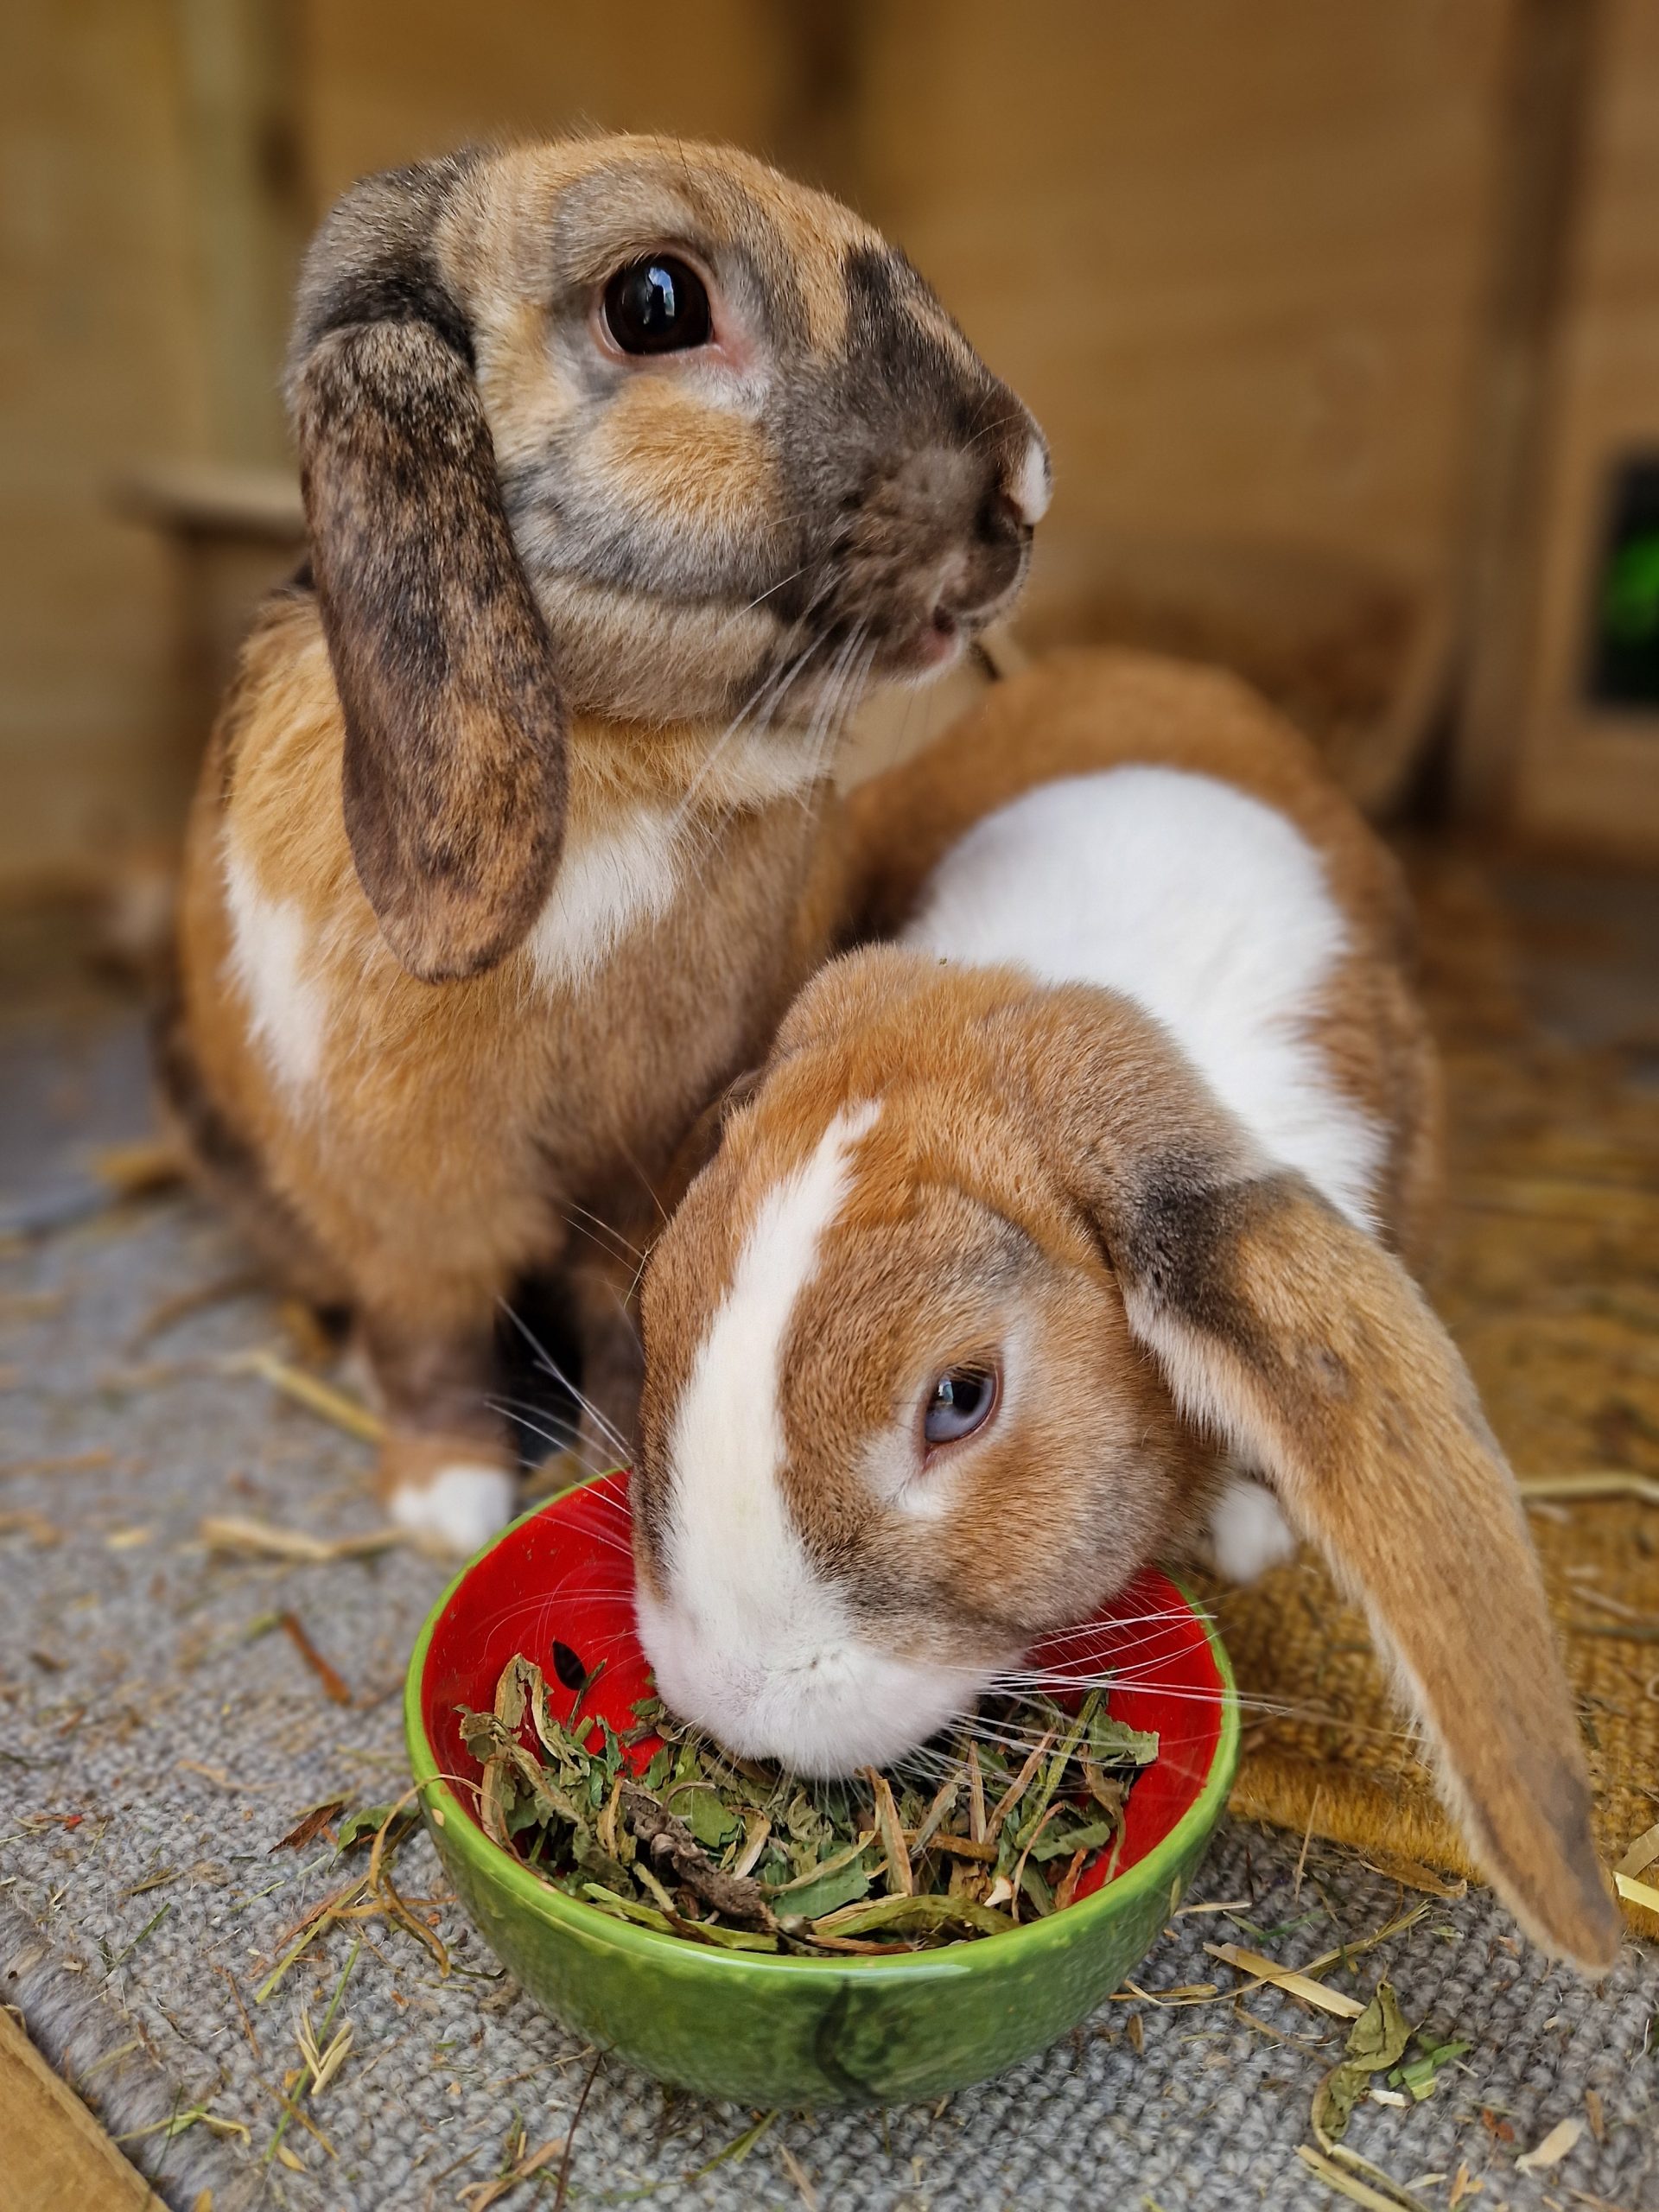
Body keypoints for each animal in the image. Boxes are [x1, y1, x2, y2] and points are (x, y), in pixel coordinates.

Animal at [152, 133, 1039, 1557]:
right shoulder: (409, 1194)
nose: (1023, 482)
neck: (631, 743)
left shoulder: (653, 1170)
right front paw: (447, 1499)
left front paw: (618, 1459)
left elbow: (629, 1311)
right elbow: (432, 1332)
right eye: (656, 303)